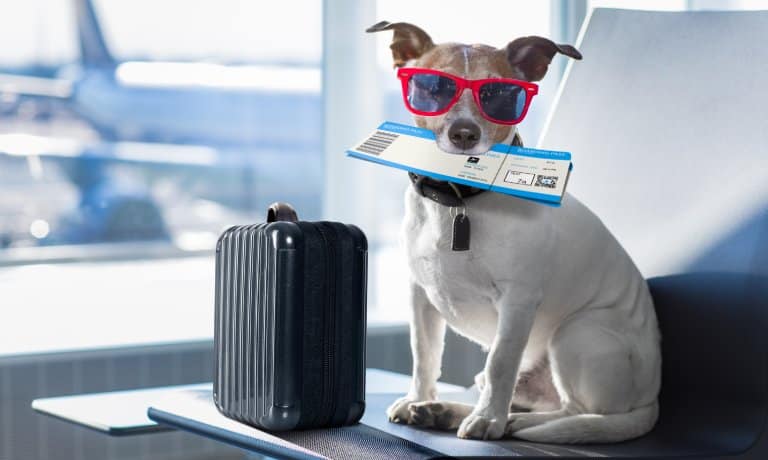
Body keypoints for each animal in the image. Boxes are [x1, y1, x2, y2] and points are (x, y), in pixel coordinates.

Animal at [366, 20, 660, 442]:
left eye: (501, 94)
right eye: (434, 87)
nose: (464, 133)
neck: (458, 200)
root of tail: (651, 400)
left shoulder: (517, 302)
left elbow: (501, 362)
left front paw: (489, 420)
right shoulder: (420, 296)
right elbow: (424, 355)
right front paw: (418, 397)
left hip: (577, 332)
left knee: (572, 412)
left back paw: (509, 422)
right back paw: (445, 410)